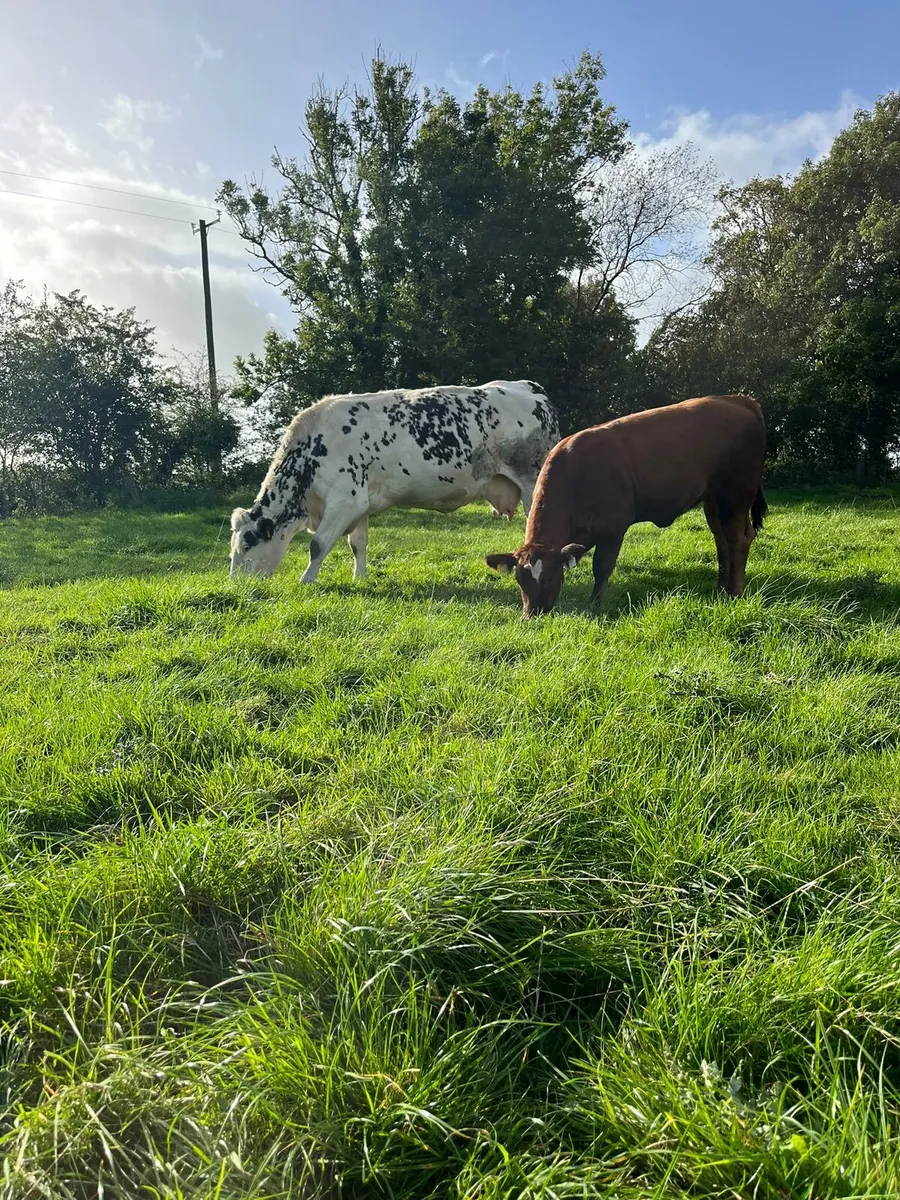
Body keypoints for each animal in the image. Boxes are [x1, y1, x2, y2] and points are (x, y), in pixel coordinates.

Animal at [229, 381, 559, 581]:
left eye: (246, 545)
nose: (237, 585)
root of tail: (529, 387)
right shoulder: (359, 503)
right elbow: (357, 543)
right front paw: (359, 577)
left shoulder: (344, 500)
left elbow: (317, 544)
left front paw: (306, 580)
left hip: (532, 482)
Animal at [485, 394, 767, 617]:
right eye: (520, 580)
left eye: (552, 577)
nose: (531, 614)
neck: (577, 474)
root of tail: (737, 399)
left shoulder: (613, 529)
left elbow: (602, 567)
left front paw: (596, 603)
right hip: (713, 500)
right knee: (722, 540)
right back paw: (721, 587)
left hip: (735, 495)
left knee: (738, 540)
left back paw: (735, 592)